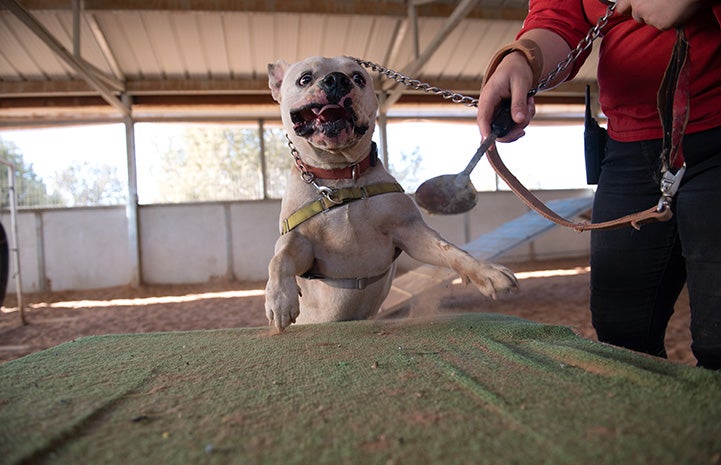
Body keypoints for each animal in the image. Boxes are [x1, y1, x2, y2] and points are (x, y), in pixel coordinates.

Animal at [264, 55, 516, 330]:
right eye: (305, 79)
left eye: (358, 78)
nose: (337, 80)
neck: (342, 175)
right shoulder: (299, 242)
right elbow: (279, 258)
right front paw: (280, 299)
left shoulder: (410, 231)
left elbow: (451, 250)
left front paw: (486, 272)